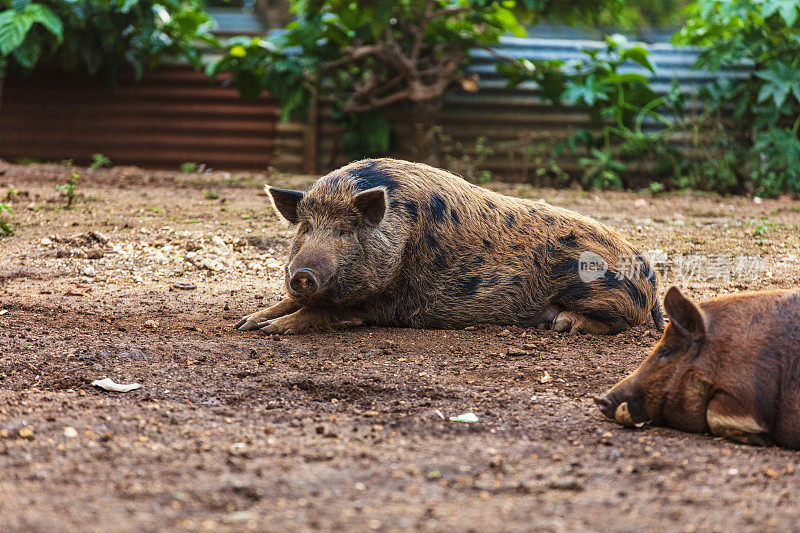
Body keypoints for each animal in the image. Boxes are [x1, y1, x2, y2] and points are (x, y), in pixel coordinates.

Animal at [234, 156, 664, 334]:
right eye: (305, 228)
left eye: (344, 232)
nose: (303, 274)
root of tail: (650, 277)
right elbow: (293, 303)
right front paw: (247, 323)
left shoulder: (391, 300)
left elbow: (326, 311)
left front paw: (271, 329)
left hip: (598, 288)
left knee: (623, 323)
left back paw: (563, 324)